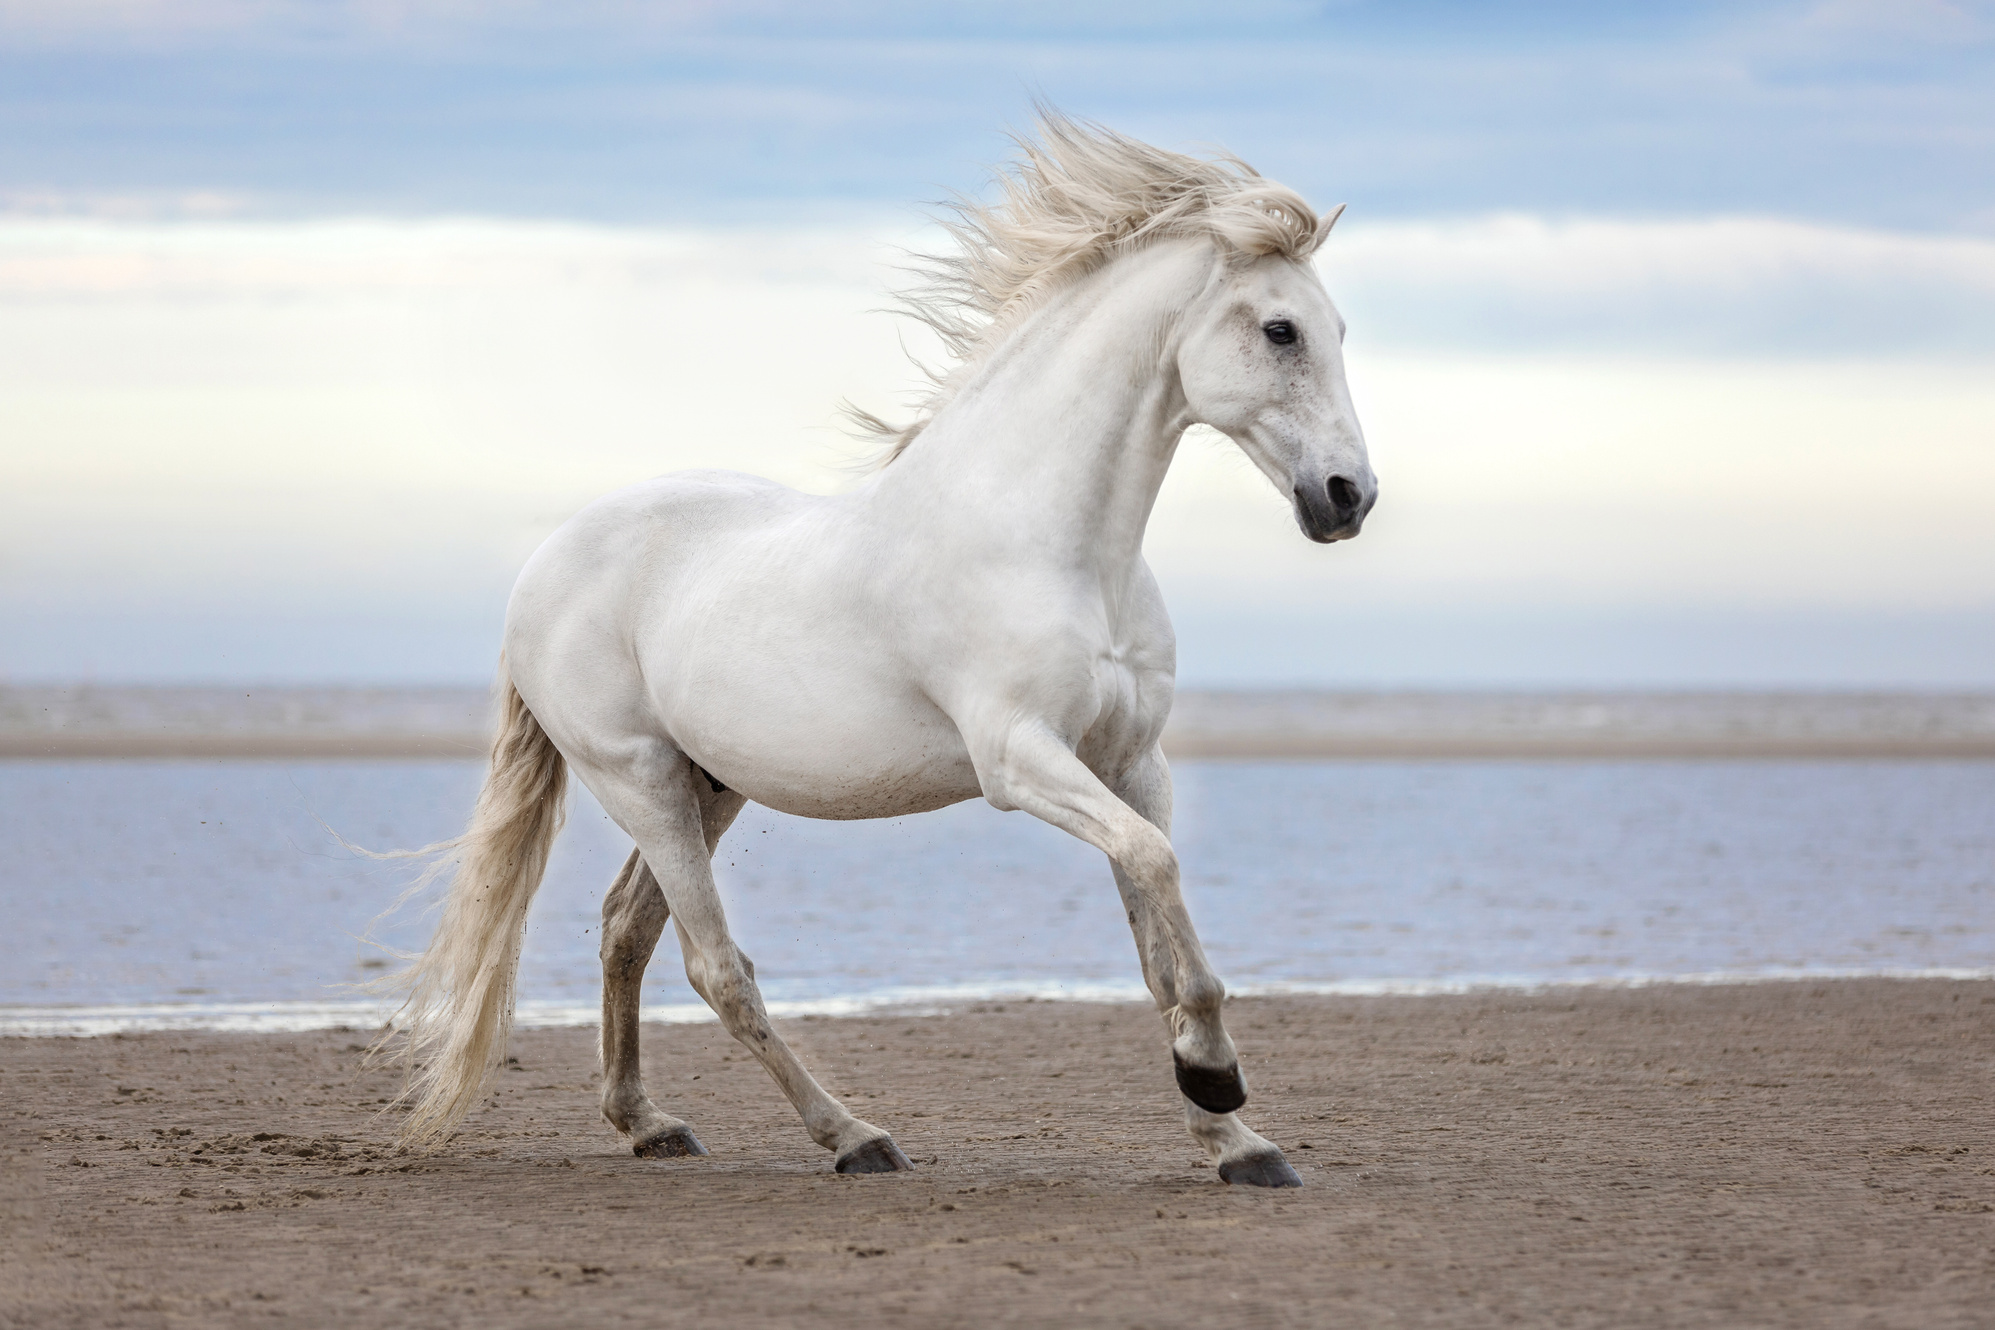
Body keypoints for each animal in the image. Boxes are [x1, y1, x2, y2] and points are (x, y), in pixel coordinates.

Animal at [377, 114, 1372, 1188]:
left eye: (1337, 331)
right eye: (1280, 331)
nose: (1347, 498)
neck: (1054, 547)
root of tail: (546, 562)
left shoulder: (1131, 764)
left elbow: (1159, 936)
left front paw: (1238, 1143)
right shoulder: (1021, 761)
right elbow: (1156, 871)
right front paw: (1216, 1081)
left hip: (706, 785)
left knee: (625, 933)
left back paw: (648, 1124)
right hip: (636, 778)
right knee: (716, 967)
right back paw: (853, 1137)